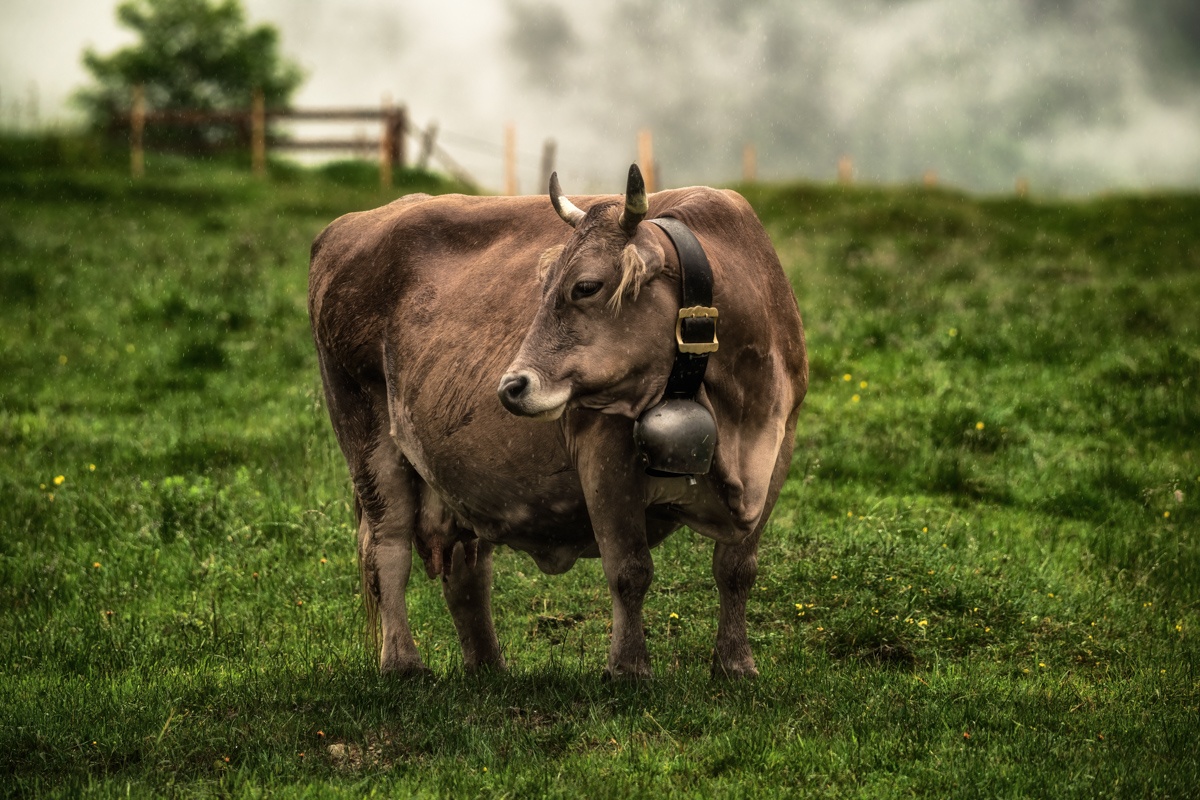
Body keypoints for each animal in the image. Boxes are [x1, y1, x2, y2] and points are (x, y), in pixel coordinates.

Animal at [308, 164, 807, 679]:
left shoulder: (778, 449)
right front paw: (629, 668)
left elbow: (737, 568)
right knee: (386, 550)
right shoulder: (604, 450)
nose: (511, 385)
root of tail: (349, 224)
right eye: (542, 286)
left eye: (585, 286)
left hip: (460, 472)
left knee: (467, 567)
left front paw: (735, 664)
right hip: (365, 436)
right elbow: (629, 569)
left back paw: (489, 667)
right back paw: (403, 664)